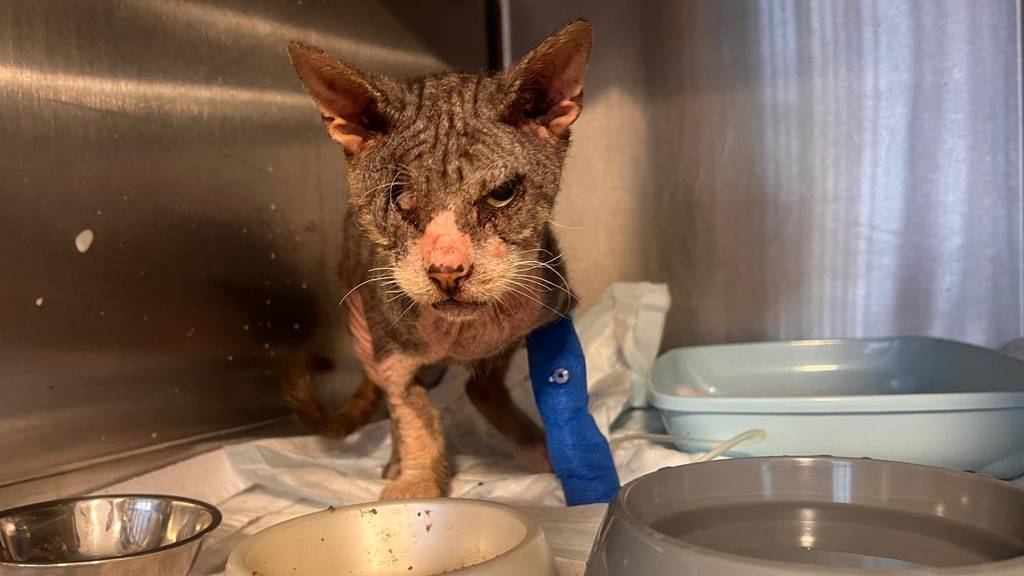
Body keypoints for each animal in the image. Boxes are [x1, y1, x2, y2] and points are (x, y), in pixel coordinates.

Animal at [286, 15, 593, 496]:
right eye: (401, 200)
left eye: (502, 194)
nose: (449, 272)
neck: (463, 336)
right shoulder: (392, 355)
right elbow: (414, 416)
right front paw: (415, 487)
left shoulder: (554, 315)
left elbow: (563, 390)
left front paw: (577, 462)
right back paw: (398, 463)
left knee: (481, 389)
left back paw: (533, 446)